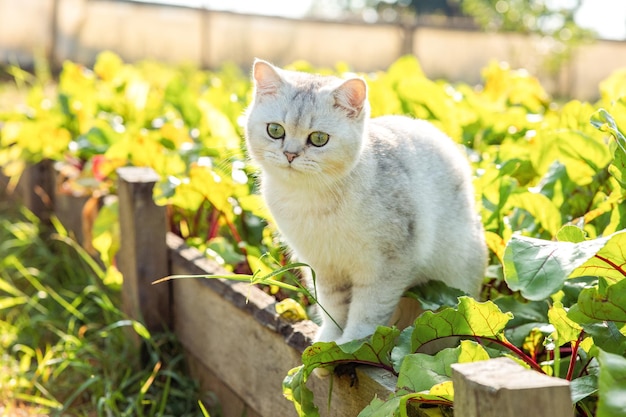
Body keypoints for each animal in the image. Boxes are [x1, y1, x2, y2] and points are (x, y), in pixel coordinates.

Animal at [244, 58, 488, 344]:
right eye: (275, 131)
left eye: (318, 139)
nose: (290, 154)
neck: (310, 197)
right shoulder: (325, 270)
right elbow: (333, 312)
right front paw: (327, 344)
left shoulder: (386, 268)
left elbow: (366, 315)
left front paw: (351, 347)